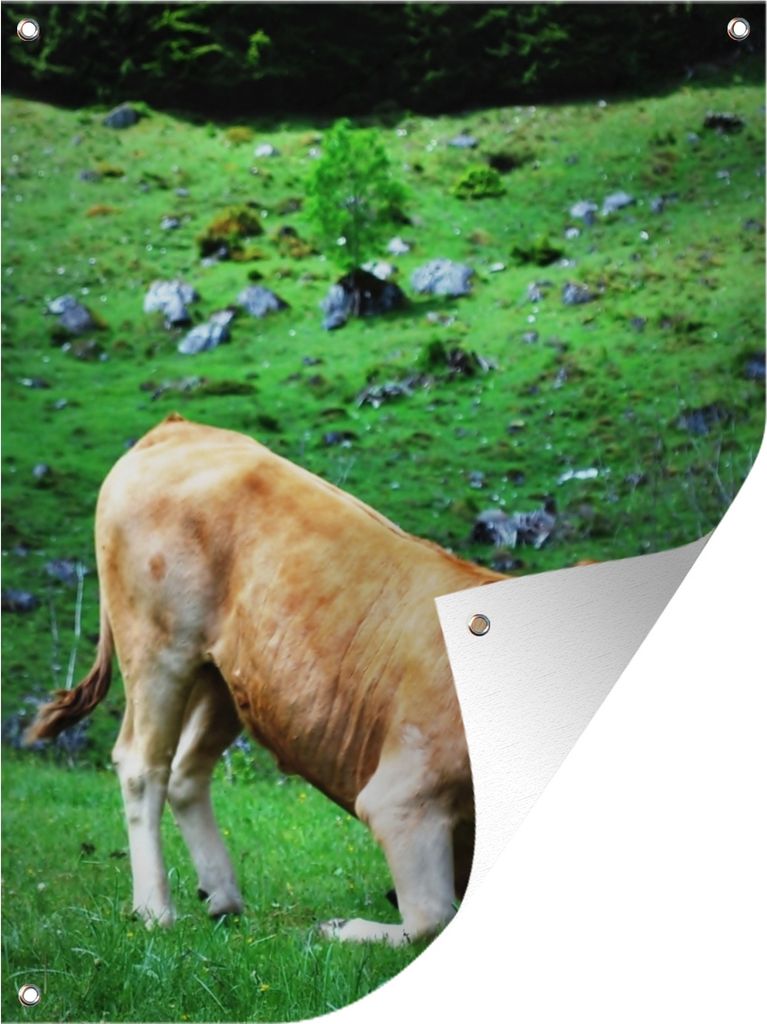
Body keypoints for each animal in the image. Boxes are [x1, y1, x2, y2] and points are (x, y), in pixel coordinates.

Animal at [26, 414, 504, 945]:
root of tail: (175, 427)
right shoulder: (404, 794)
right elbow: (430, 918)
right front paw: (337, 927)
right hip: (157, 647)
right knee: (142, 766)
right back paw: (155, 910)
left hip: (226, 677)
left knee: (187, 770)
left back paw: (222, 897)